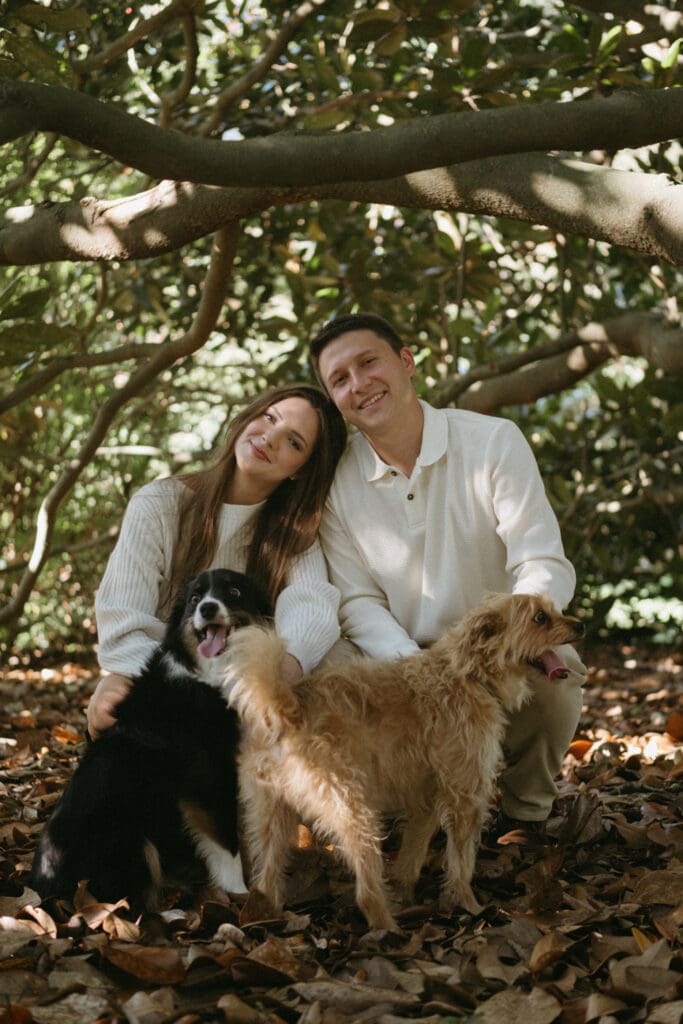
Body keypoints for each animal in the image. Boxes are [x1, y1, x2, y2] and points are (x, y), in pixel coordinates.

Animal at [30, 569, 270, 913]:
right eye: (195, 598)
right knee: (123, 903)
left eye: (234, 592)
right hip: (129, 837)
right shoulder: (207, 777)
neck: (207, 672)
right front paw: (239, 892)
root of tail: (42, 893)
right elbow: (226, 842)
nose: (207, 608)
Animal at [228, 589, 581, 933]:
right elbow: (461, 863)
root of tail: (287, 705)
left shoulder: (426, 800)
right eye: (540, 617)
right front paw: (469, 905)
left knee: (266, 878)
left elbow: (412, 855)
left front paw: (407, 894)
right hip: (353, 810)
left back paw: (268, 917)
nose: (579, 626)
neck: (468, 675)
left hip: (273, 816)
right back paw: (389, 929)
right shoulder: (465, 798)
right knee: (366, 890)